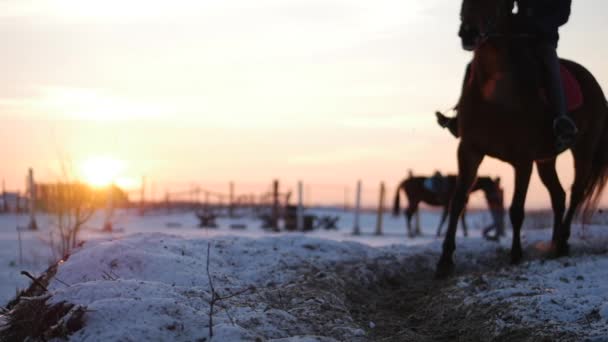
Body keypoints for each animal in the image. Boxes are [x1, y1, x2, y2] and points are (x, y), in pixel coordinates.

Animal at [436, 0, 608, 278]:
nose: (469, 34)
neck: (496, 92)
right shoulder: (469, 150)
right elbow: (458, 200)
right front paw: (444, 261)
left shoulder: (523, 160)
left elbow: (516, 209)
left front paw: (516, 255)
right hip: (546, 160)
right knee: (558, 196)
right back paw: (554, 243)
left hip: (583, 150)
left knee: (575, 193)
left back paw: (562, 242)